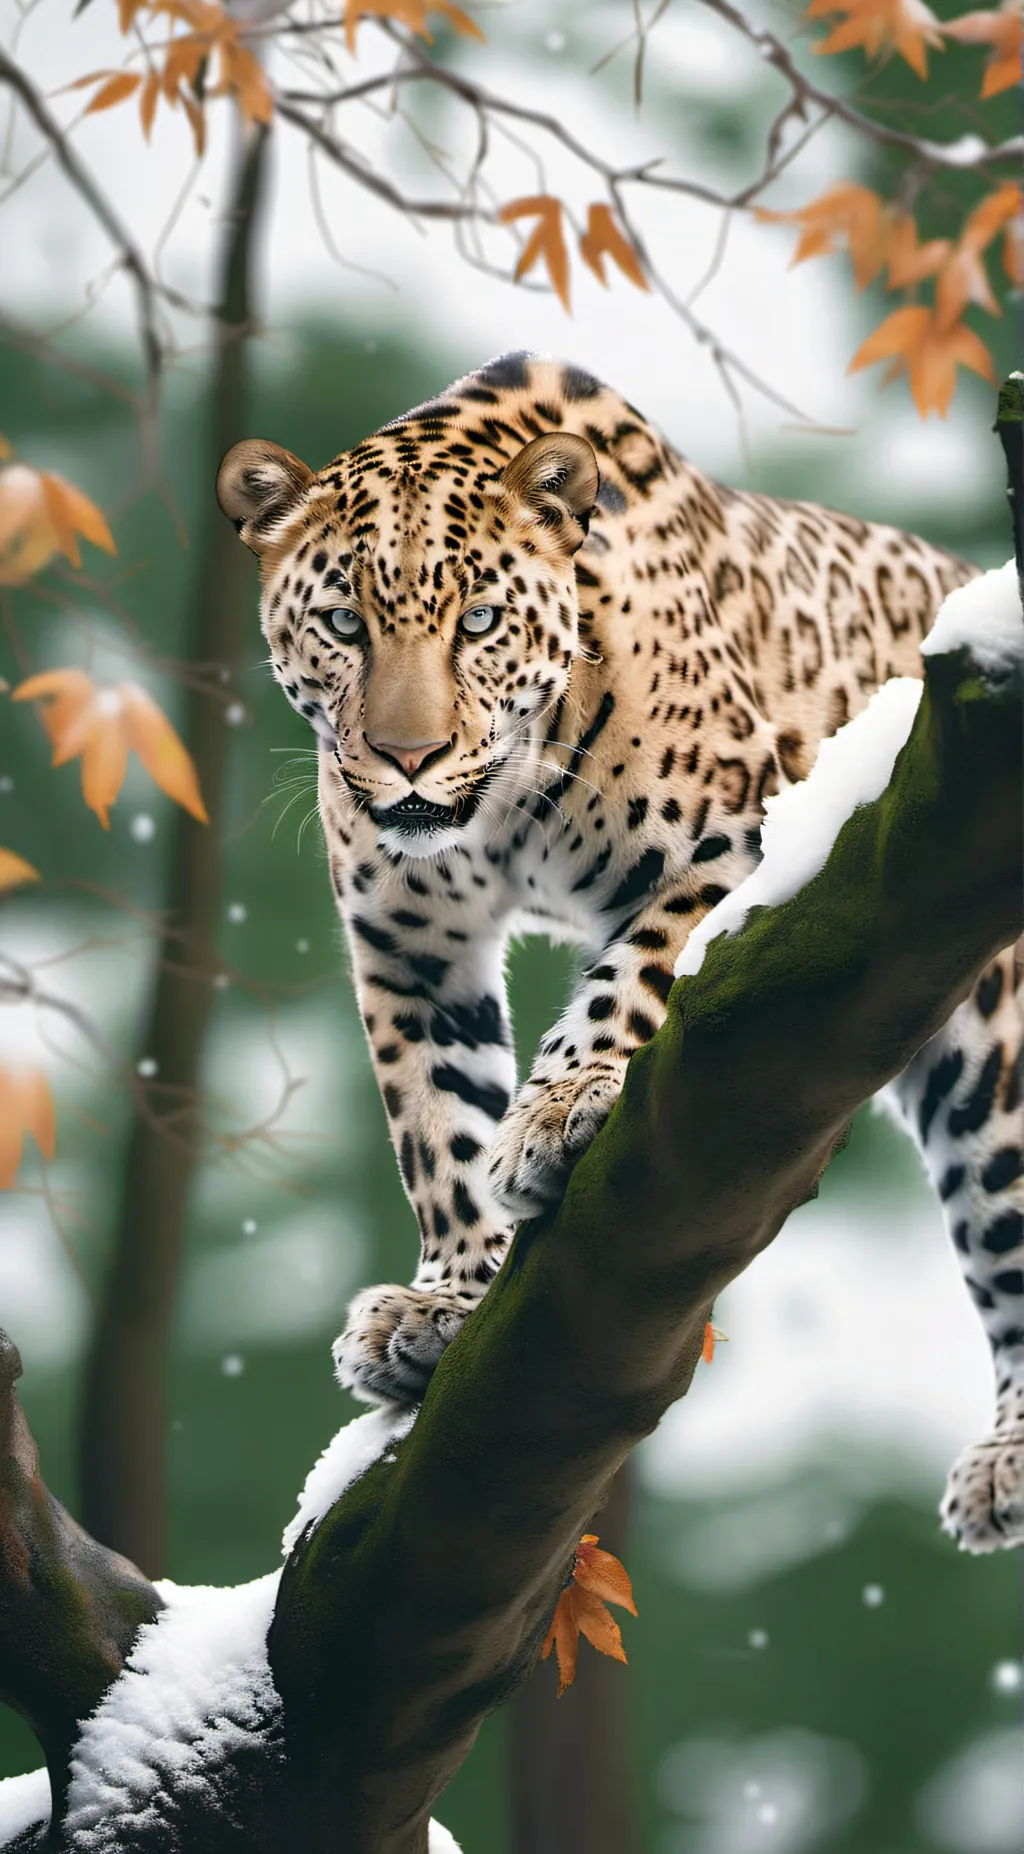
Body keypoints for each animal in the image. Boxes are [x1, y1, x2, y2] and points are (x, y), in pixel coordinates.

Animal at [217, 350, 1024, 1554]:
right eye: (344, 626)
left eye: (480, 621)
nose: (410, 757)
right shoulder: (408, 949)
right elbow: (434, 1131)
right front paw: (445, 1304)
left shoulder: (733, 837)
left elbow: (628, 983)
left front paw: (553, 1118)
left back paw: (1005, 1466)